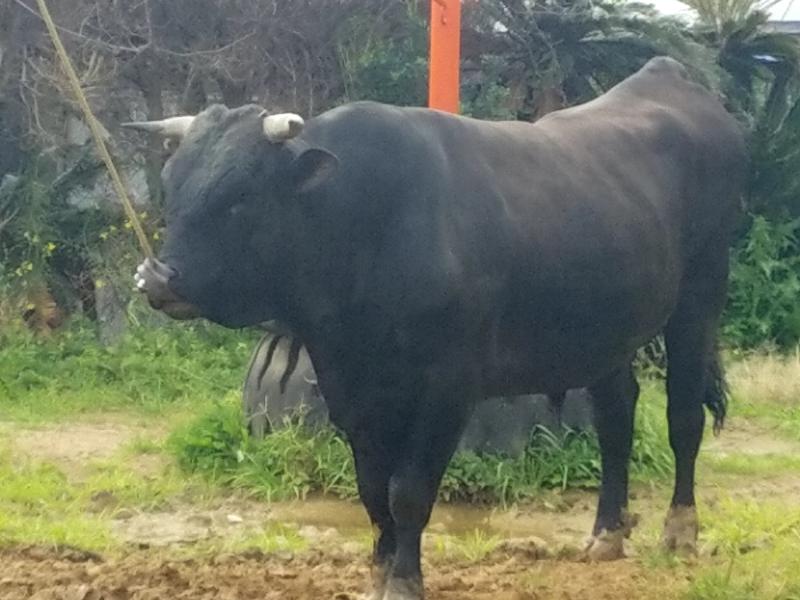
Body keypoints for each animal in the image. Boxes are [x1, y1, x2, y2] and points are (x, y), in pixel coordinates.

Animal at [128, 57, 748, 600]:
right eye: (173, 186)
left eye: (240, 197)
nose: (158, 278)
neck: (364, 221)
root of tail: (666, 75)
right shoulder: (350, 386)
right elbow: (372, 489)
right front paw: (379, 574)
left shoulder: (447, 386)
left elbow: (407, 491)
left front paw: (404, 581)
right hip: (604, 331)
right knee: (616, 419)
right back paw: (606, 534)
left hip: (701, 294)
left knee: (683, 417)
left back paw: (680, 531)